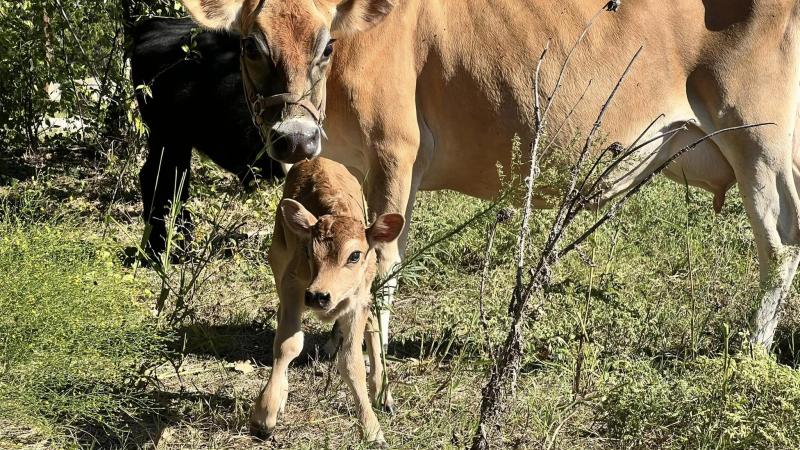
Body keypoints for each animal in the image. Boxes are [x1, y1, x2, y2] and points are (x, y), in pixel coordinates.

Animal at [259, 157, 404, 446]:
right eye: (308, 250)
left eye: (355, 255)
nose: (318, 295)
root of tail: (315, 159)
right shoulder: (292, 285)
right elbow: (287, 345)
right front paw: (265, 413)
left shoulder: (358, 300)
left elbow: (351, 361)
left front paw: (372, 429)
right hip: (278, 259)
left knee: (373, 321)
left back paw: (383, 395)